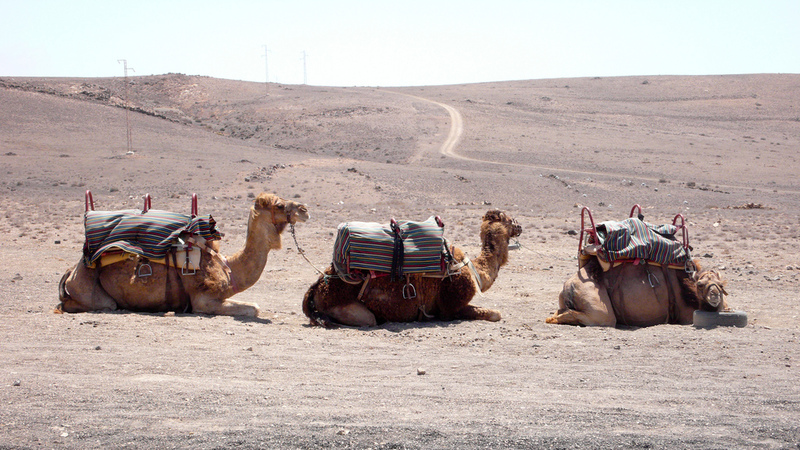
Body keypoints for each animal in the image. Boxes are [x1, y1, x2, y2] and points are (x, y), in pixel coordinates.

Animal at [57, 193, 309, 316]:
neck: (229, 269)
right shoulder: (203, 301)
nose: (304, 210)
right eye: (278, 205)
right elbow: (254, 308)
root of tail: (72, 271)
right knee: (97, 304)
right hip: (93, 292)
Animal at [302, 210, 522, 327]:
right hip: (345, 306)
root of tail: (319, 284)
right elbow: (496, 314)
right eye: (508, 218)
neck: (475, 271)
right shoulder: (450, 307)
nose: (519, 226)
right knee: (365, 319)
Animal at [545, 256, 729, 327]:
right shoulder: (685, 315)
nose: (714, 296)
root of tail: (569, 285)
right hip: (599, 309)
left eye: (721, 285)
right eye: (701, 284)